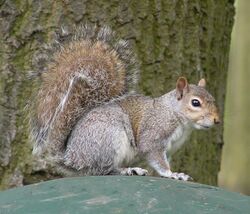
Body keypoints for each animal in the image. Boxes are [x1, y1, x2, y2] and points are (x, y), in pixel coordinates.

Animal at [30, 25, 220, 181]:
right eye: (195, 103)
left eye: (212, 98)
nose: (217, 120)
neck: (174, 114)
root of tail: (72, 158)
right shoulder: (154, 136)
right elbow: (156, 158)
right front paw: (172, 174)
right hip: (109, 140)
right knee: (102, 170)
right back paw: (128, 170)